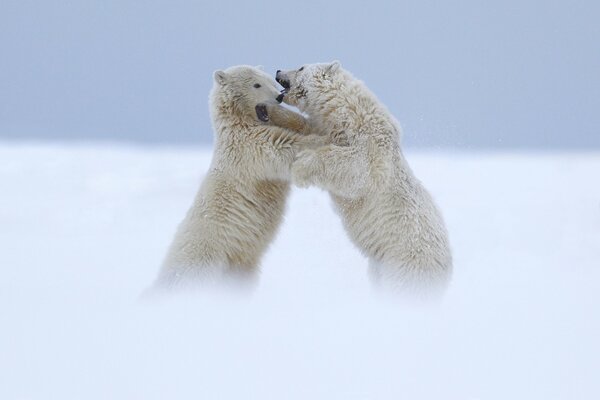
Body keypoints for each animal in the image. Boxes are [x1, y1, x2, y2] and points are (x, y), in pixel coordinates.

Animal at [155, 65, 324, 290]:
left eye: (270, 80)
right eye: (256, 84)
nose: (279, 97)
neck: (237, 122)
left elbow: (297, 126)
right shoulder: (247, 146)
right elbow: (284, 145)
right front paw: (323, 140)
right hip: (207, 256)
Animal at [274, 61, 452, 296]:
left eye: (301, 67)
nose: (278, 71)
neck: (348, 112)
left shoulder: (372, 145)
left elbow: (357, 169)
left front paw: (301, 167)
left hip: (406, 265)